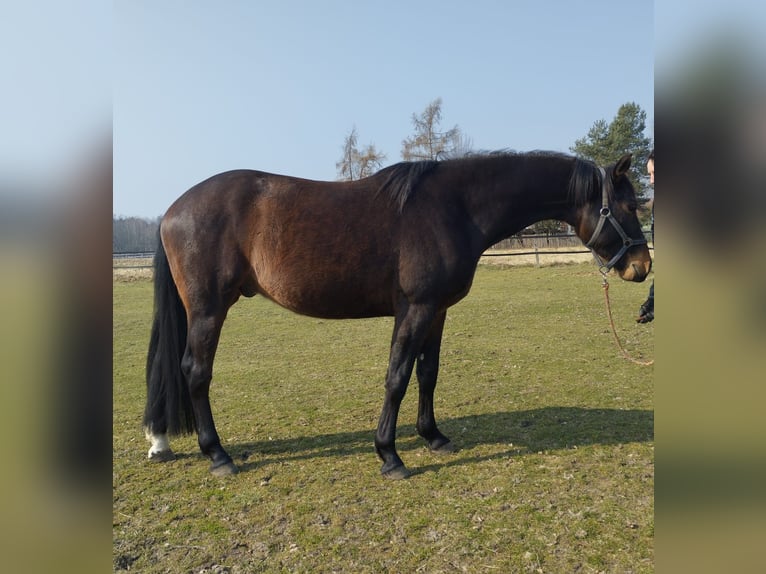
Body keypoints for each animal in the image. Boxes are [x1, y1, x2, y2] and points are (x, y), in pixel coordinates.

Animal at [143, 151, 651, 479]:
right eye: (629, 205)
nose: (641, 267)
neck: (453, 208)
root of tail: (172, 210)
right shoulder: (415, 309)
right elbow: (397, 376)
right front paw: (389, 455)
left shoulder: (438, 311)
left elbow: (428, 373)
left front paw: (434, 437)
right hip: (208, 310)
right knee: (196, 372)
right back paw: (218, 455)